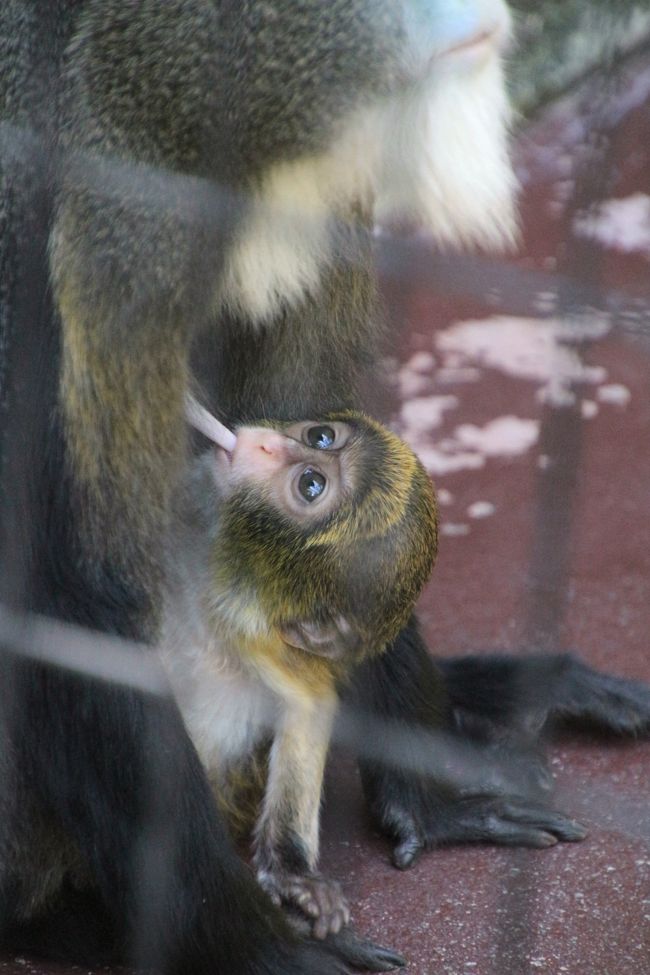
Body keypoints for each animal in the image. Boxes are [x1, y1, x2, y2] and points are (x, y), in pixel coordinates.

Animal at [159, 402, 438, 936]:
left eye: (311, 485)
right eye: (320, 436)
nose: (266, 444)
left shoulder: (256, 631)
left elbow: (310, 707)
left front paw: (291, 873)